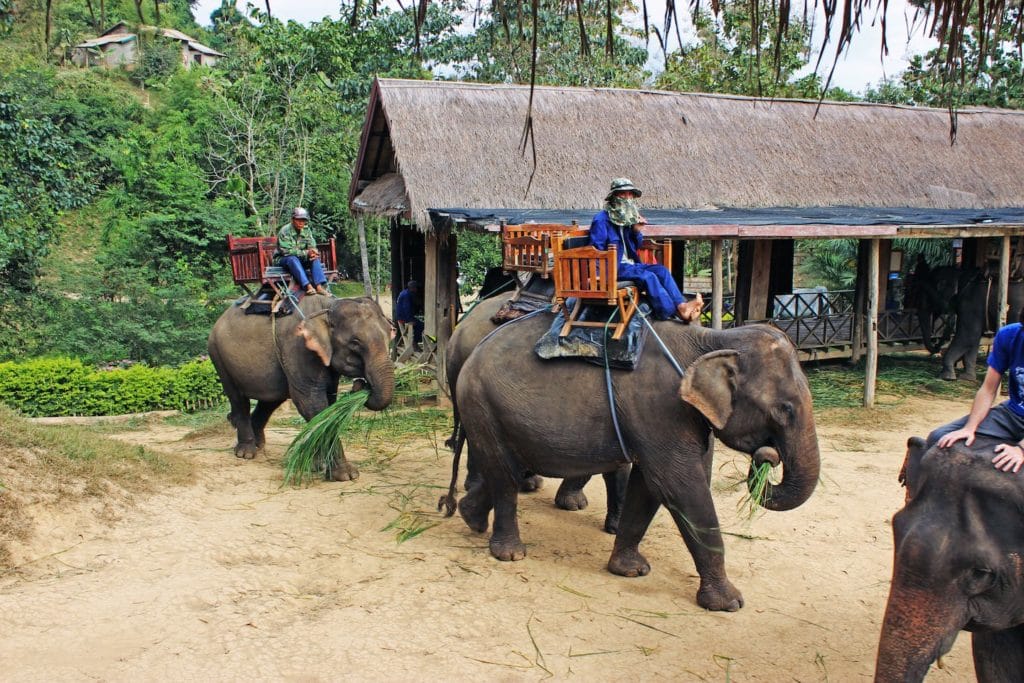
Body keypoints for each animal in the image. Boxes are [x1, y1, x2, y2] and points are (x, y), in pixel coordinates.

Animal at [207, 296, 395, 483]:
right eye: (355, 343)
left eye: (390, 334)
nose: (361, 384)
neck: (327, 308)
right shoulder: (298, 349)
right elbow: (311, 403)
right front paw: (346, 475)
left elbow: (328, 402)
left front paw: (315, 466)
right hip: (219, 358)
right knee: (239, 400)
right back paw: (246, 453)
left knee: (271, 400)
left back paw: (258, 445)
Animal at [456, 313, 823, 610]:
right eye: (785, 409)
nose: (767, 457)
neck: (713, 340)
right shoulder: (661, 408)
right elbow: (679, 485)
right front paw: (730, 603)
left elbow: (649, 486)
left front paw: (630, 570)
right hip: (481, 404)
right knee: (504, 474)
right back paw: (510, 553)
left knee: (510, 469)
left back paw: (470, 516)